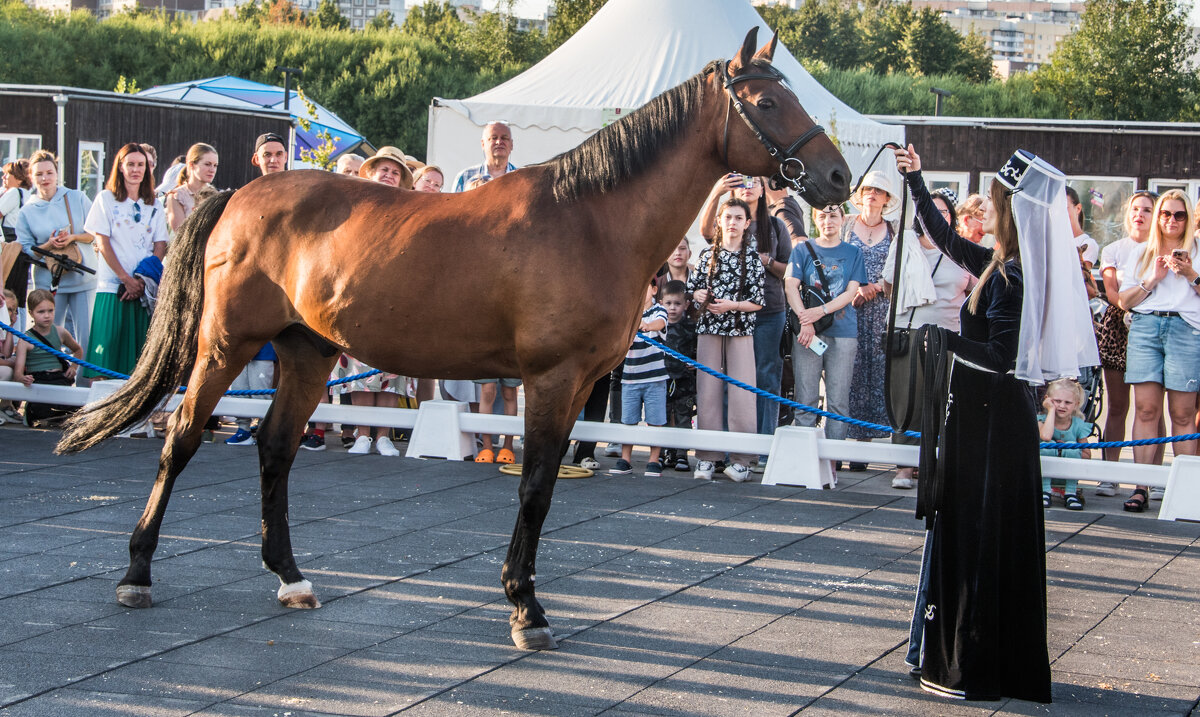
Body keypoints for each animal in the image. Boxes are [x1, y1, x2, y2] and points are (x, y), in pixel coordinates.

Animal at [54, 29, 844, 652]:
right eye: (766, 103)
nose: (837, 175)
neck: (591, 219)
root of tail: (239, 194)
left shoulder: (582, 384)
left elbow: (544, 483)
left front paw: (523, 597)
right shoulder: (551, 379)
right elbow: (534, 488)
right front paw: (526, 607)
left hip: (307, 351)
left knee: (276, 447)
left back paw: (291, 577)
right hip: (227, 344)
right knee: (182, 435)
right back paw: (136, 572)